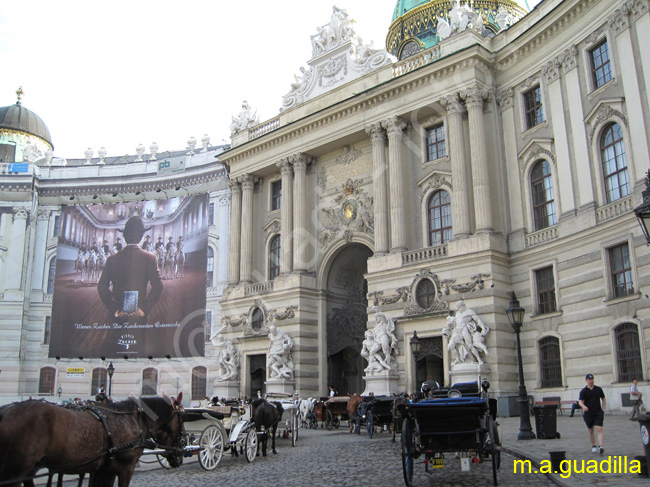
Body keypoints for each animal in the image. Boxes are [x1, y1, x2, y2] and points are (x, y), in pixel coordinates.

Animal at [0, 394, 185, 486]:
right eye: (181, 416)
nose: (183, 446)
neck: (133, 419)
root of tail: (6, 410)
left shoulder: (105, 469)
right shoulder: (126, 466)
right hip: (16, 471)